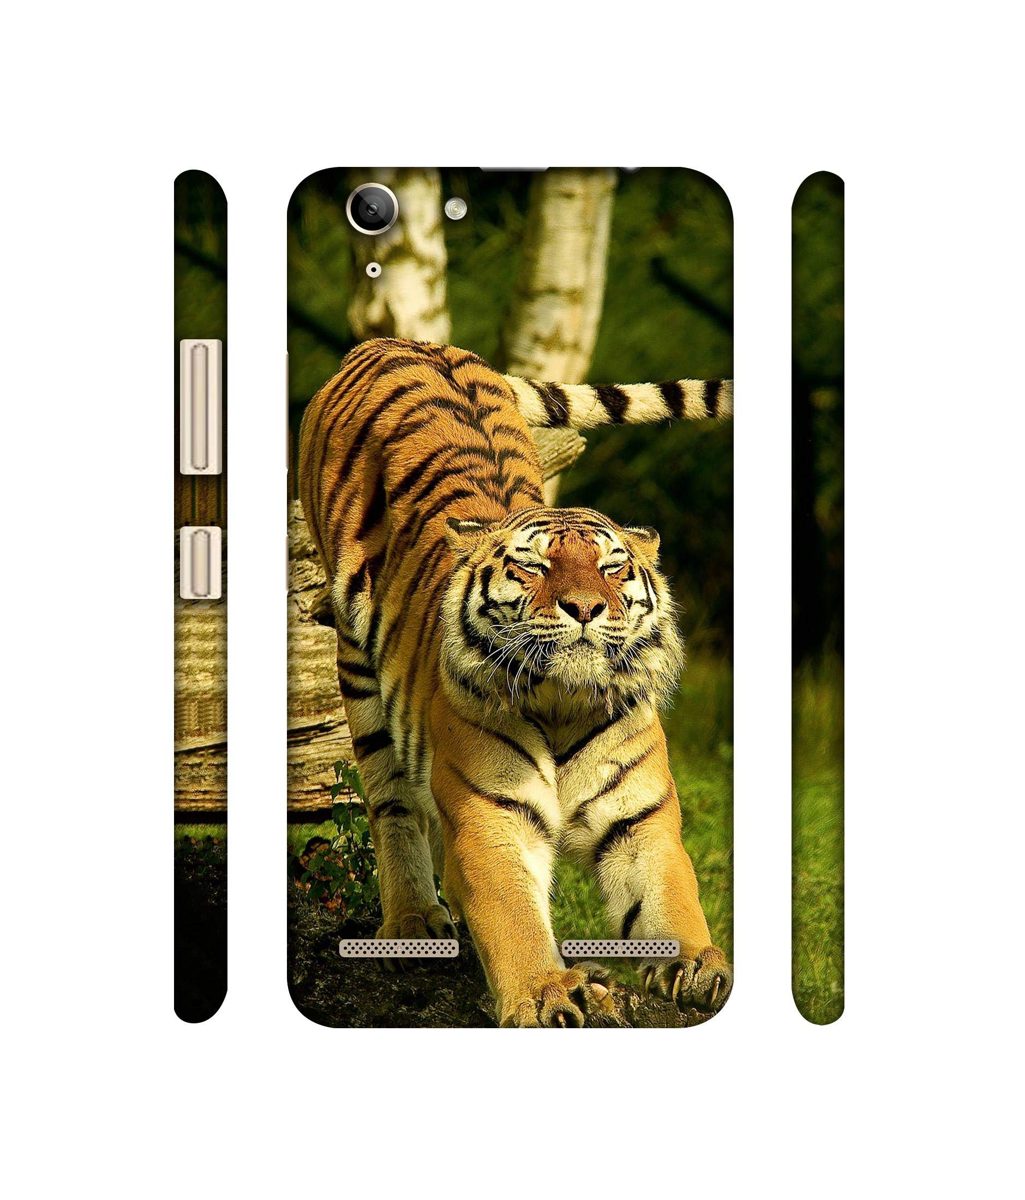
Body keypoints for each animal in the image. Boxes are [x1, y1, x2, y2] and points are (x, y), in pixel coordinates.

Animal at [298, 337, 733, 1027]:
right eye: (535, 567)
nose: (586, 607)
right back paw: (413, 922)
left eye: (613, 568)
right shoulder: (490, 816)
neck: (564, 703)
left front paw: (698, 966)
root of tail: (398, 341)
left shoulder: (641, 817)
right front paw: (545, 992)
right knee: (391, 801)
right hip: (357, 667)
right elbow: (512, 917)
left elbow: (671, 895)